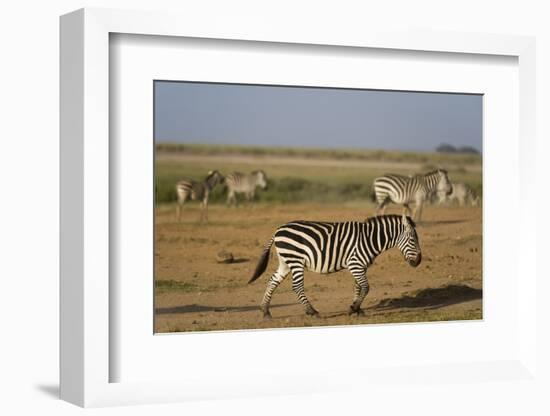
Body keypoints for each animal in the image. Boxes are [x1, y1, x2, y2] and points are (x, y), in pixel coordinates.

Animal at [250, 213, 422, 320]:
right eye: (413, 240)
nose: (419, 261)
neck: (369, 239)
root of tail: (278, 230)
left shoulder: (360, 266)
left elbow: (358, 287)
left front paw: (357, 309)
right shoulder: (355, 264)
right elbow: (366, 287)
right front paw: (353, 309)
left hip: (285, 262)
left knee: (272, 281)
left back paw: (265, 311)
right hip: (295, 260)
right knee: (297, 286)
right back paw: (312, 311)